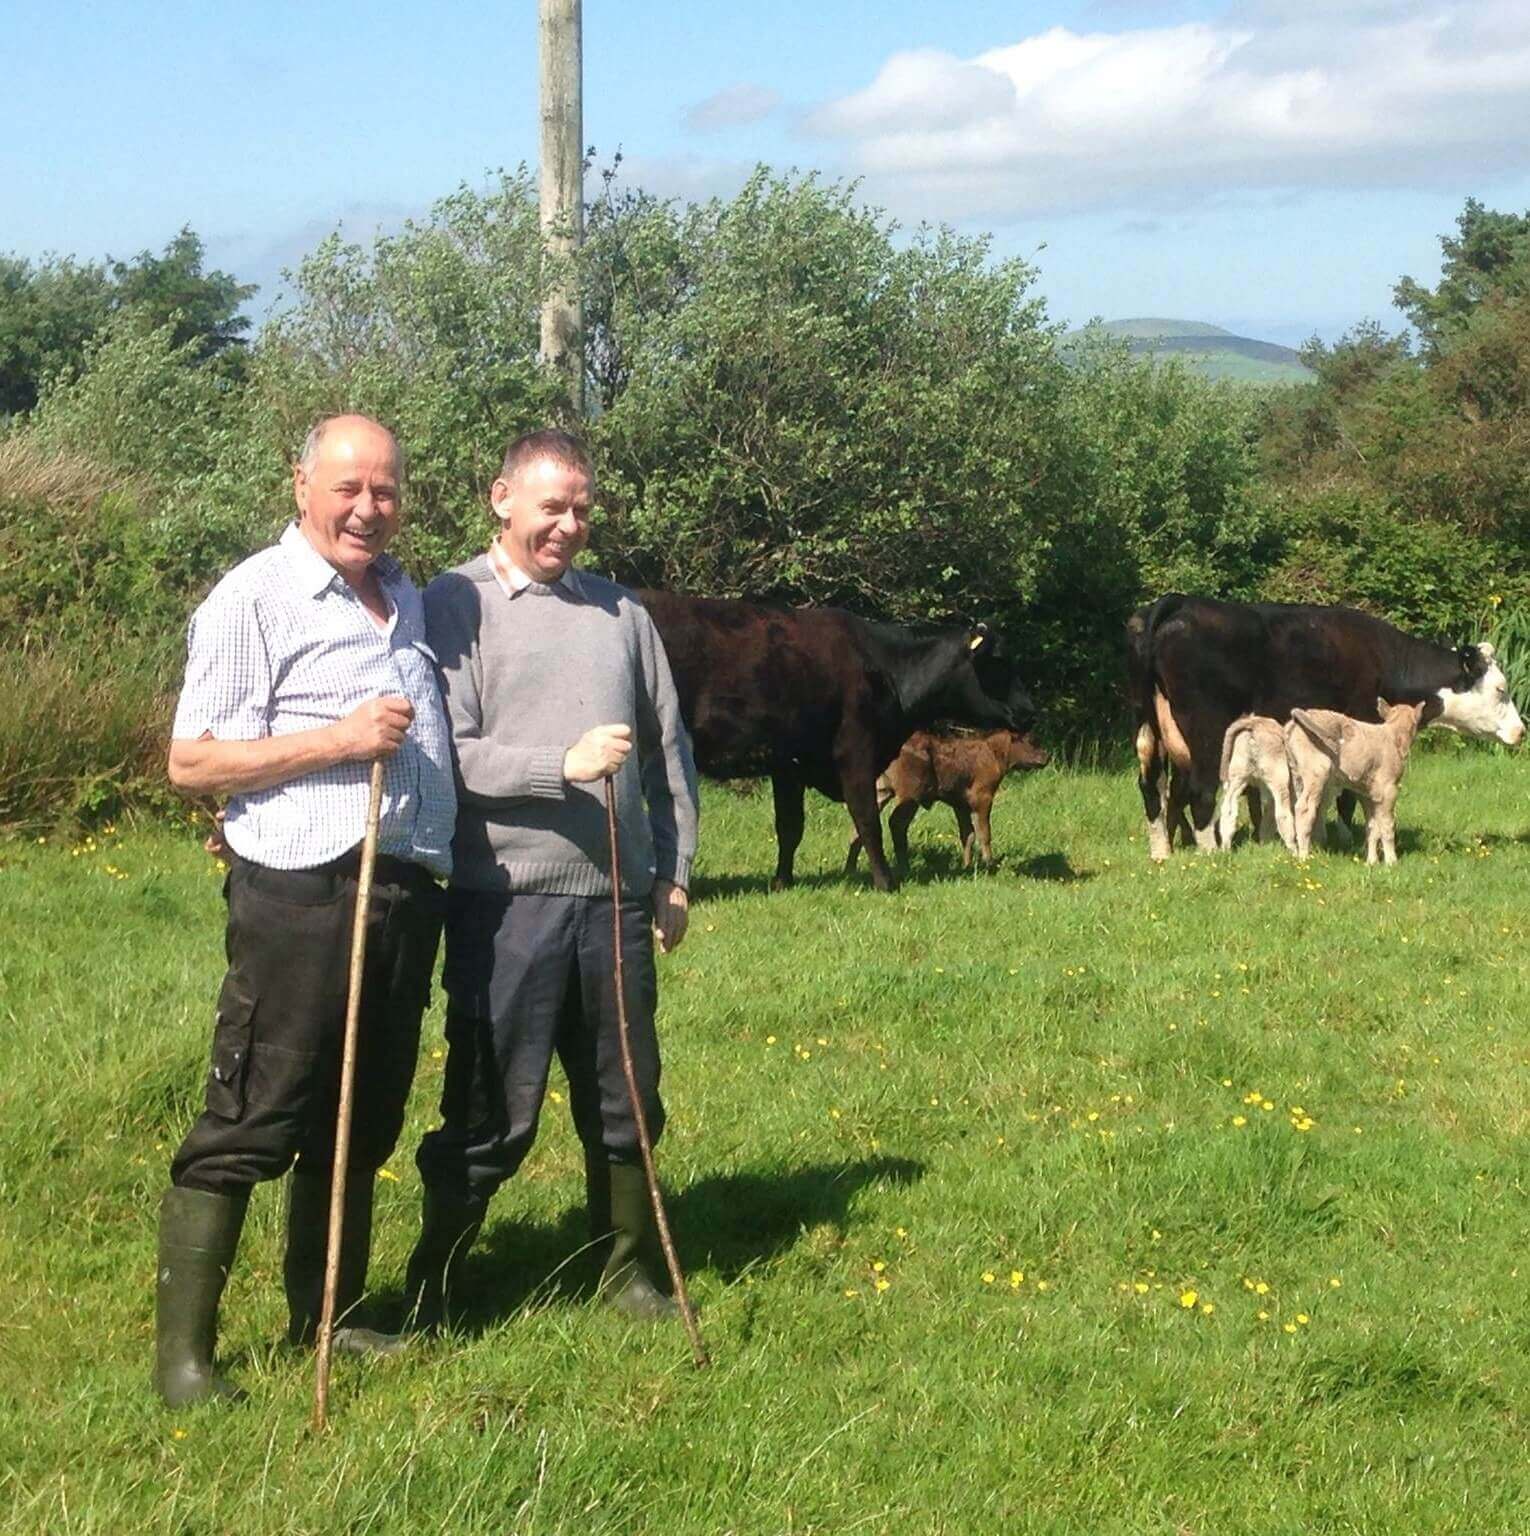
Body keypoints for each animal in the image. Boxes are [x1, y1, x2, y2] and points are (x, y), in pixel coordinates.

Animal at [841, 731, 1044, 878]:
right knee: (896, 824)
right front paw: (990, 865)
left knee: (859, 827)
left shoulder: (960, 805)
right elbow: (984, 834)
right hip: (909, 795)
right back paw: (904, 868)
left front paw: (967, 865)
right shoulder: (983, 798)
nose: (1046, 755)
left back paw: (850, 870)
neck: (995, 754)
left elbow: (967, 835)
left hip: (881, 790)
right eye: (1031, 741)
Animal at [1210, 715, 1296, 854]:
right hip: (1278, 777)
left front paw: (1265, 843)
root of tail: (1253, 723)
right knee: (1282, 813)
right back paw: (1295, 851)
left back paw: (1226, 849)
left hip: (1238, 775)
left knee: (1228, 810)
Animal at [1284, 700, 1437, 866]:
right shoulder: (1388, 788)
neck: (1393, 736)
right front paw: (1391, 861)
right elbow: (1387, 825)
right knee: (1304, 809)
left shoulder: (1368, 793)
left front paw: (1371, 862)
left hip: (1297, 774)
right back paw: (1304, 856)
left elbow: (1372, 826)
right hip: (1317, 772)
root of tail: (1296, 718)